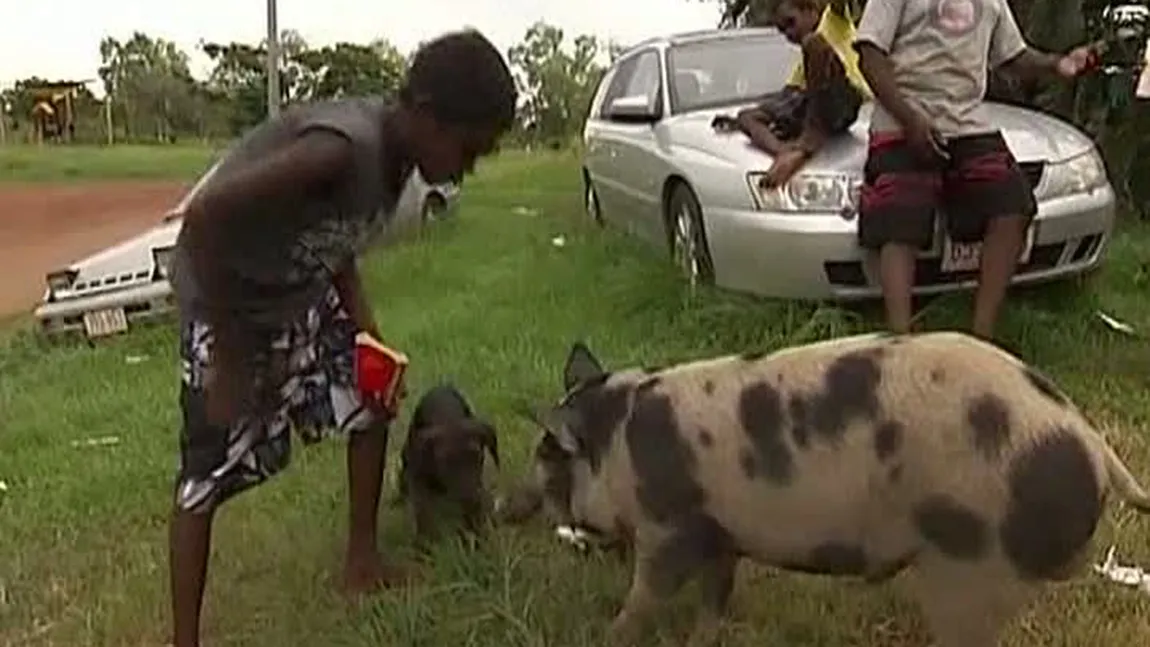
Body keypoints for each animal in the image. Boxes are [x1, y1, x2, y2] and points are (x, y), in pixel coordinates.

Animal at [522, 330, 1150, 643]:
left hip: (976, 568)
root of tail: (1090, 440)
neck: (619, 442)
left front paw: (610, 634)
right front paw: (704, 638)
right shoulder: (721, 532)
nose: (511, 504)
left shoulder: (669, 525)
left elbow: (647, 593)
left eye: (548, 457)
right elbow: (715, 596)